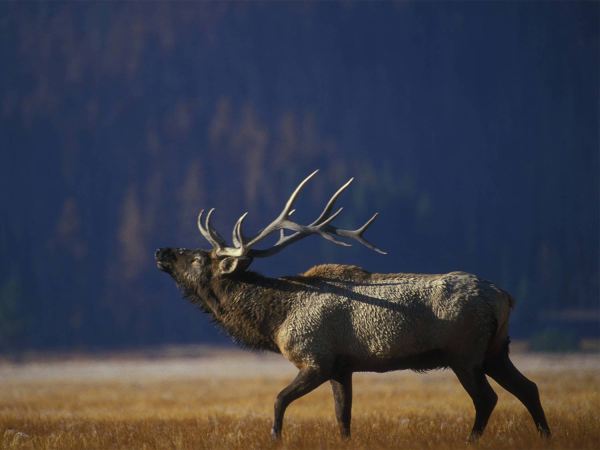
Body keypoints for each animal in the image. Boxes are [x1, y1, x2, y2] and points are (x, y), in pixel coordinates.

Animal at [155, 171, 548, 442]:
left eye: (198, 258)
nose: (162, 251)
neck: (275, 320)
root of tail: (505, 297)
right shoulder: (343, 368)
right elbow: (343, 418)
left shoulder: (316, 359)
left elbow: (279, 400)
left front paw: (275, 437)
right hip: (496, 350)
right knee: (529, 388)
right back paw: (545, 435)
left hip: (465, 353)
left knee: (487, 399)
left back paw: (471, 439)